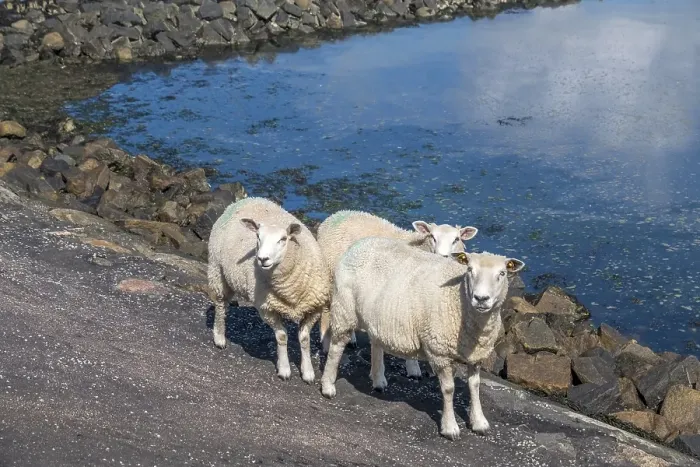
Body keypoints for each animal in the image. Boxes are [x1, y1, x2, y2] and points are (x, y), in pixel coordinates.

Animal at [208, 197, 331, 383]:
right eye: (258, 237)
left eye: (283, 239)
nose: (262, 259)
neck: (290, 290)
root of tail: (249, 198)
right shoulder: (267, 308)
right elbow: (282, 336)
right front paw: (284, 369)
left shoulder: (314, 307)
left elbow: (304, 339)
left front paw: (308, 372)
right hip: (217, 270)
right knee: (221, 305)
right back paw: (220, 337)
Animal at [316, 209, 478, 378]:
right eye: (432, 237)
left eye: (456, 239)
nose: (443, 255)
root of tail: (335, 215)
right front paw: (413, 368)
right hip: (331, 273)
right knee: (326, 310)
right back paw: (326, 342)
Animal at [319, 237, 524, 440]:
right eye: (470, 270)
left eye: (502, 273)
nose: (481, 298)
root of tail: (359, 243)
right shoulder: (439, 351)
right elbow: (449, 389)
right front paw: (450, 427)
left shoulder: (476, 355)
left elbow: (475, 386)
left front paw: (479, 422)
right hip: (344, 308)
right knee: (337, 347)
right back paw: (328, 386)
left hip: (377, 316)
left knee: (375, 343)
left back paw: (378, 381)